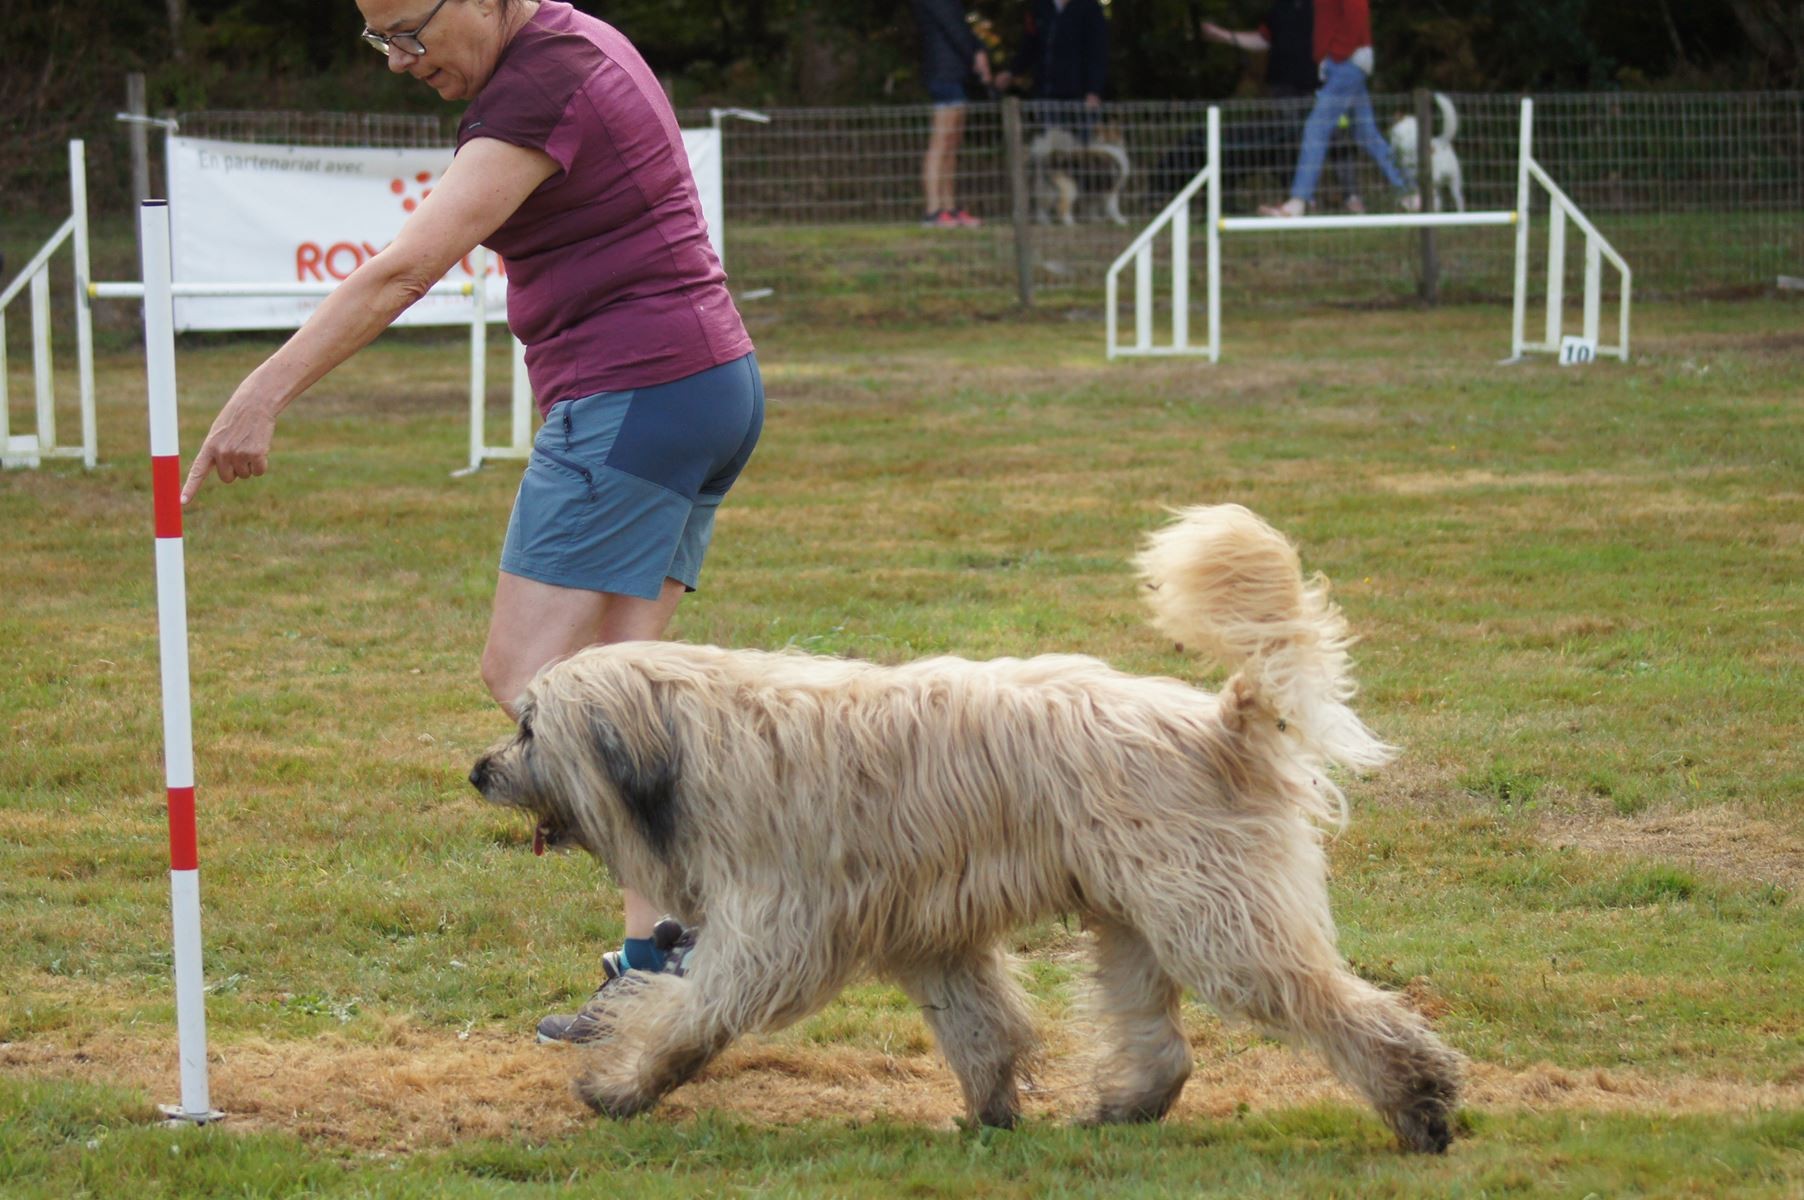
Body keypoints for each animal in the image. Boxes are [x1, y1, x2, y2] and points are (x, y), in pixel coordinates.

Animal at [469, 505, 1464, 1154]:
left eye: (531, 728)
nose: (479, 771)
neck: (692, 737)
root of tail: (1223, 720)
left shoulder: (773, 928)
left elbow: (691, 1012)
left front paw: (619, 1084)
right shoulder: (928, 931)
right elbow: (978, 1024)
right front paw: (990, 1112)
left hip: (1219, 918)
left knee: (1337, 1004)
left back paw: (1423, 1104)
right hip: (1138, 917)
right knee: (1160, 1038)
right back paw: (1125, 1110)